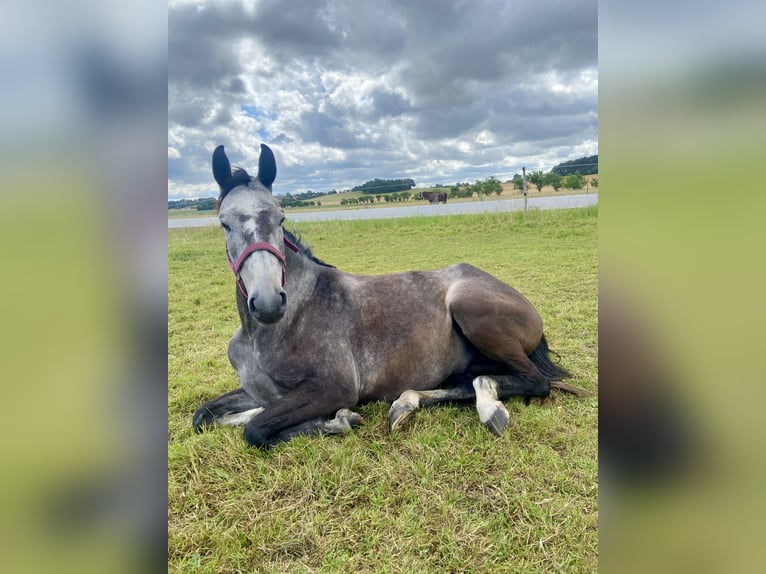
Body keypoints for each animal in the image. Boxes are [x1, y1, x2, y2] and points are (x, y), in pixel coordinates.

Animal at [192, 144, 588, 450]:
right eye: (224, 223)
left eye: (280, 217)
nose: (269, 303)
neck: (272, 331)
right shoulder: (258, 390)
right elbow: (204, 416)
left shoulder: (332, 388)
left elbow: (256, 430)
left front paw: (339, 420)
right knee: (466, 383)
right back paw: (405, 405)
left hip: (473, 311)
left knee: (533, 380)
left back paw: (489, 410)